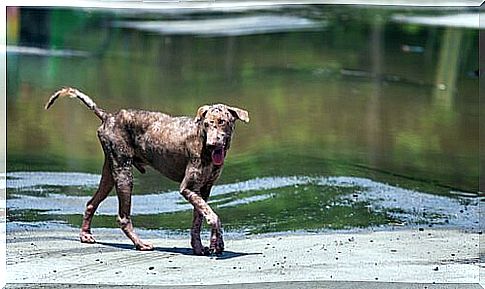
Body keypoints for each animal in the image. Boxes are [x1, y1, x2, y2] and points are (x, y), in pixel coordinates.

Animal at [45, 86, 250, 253]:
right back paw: (140, 244)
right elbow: (213, 216)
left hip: (110, 174)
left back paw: (85, 235)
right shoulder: (187, 188)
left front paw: (202, 247)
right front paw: (217, 243)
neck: (203, 142)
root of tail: (108, 116)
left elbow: (198, 220)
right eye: (207, 124)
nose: (212, 143)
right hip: (124, 175)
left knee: (90, 203)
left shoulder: (203, 190)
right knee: (123, 217)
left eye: (222, 121)